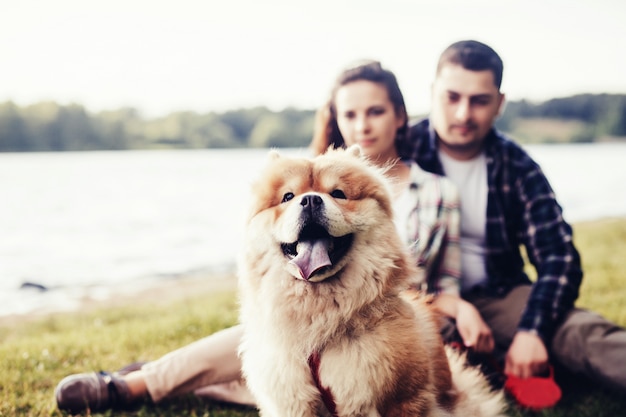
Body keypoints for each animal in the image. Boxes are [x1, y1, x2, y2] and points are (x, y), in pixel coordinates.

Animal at [236, 146, 504, 416]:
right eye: (287, 197)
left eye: (338, 194)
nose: (310, 199)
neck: (319, 319)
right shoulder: (291, 400)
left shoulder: (396, 399)